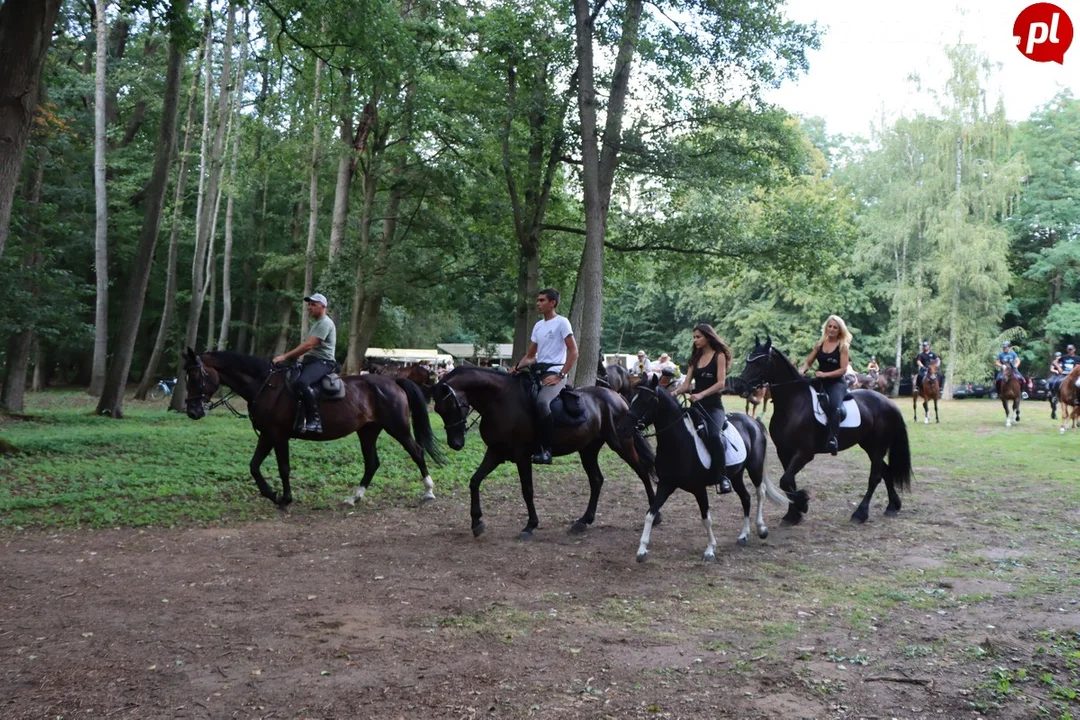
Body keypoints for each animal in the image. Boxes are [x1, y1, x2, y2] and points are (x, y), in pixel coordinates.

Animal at [183, 347, 444, 507]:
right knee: (372, 463)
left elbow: (283, 467)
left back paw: (429, 491)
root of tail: (393, 381)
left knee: (416, 451)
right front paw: (273, 495)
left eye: (196, 377)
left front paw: (285, 498)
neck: (267, 386)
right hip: (368, 431)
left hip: (397, 428)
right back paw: (354, 497)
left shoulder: (278, 434)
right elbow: (254, 466)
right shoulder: (267, 434)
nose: (192, 412)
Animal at [429, 367, 656, 539]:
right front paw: (476, 521)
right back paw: (584, 521)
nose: (455, 444)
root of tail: (617, 397)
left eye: (451, 405)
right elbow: (475, 481)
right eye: (438, 410)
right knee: (597, 480)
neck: (500, 401)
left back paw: (655, 514)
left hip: (621, 444)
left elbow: (527, 490)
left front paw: (530, 525)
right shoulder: (495, 452)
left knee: (642, 471)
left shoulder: (522, 456)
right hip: (588, 449)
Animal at [617, 377, 794, 561]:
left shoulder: (698, 488)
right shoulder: (666, 484)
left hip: (754, 468)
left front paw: (710, 549)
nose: (622, 428)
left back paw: (761, 529)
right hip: (736, 475)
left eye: (646, 400)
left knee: (761, 493)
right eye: (632, 399)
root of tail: (753, 422)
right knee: (746, 498)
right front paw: (642, 551)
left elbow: (706, 518)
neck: (678, 441)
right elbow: (650, 513)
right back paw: (744, 535)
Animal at [734, 338, 911, 524]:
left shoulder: (804, 453)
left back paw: (860, 513)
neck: (793, 403)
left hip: (878, 447)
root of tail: (889, 403)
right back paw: (893, 506)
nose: (738, 386)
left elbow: (785, 481)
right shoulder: (783, 451)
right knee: (886, 472)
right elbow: (789, 483)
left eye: (761, 362)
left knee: (875, 477)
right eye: (748, 360)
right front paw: (793, 514)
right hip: (869, 445)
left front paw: (802, 503)